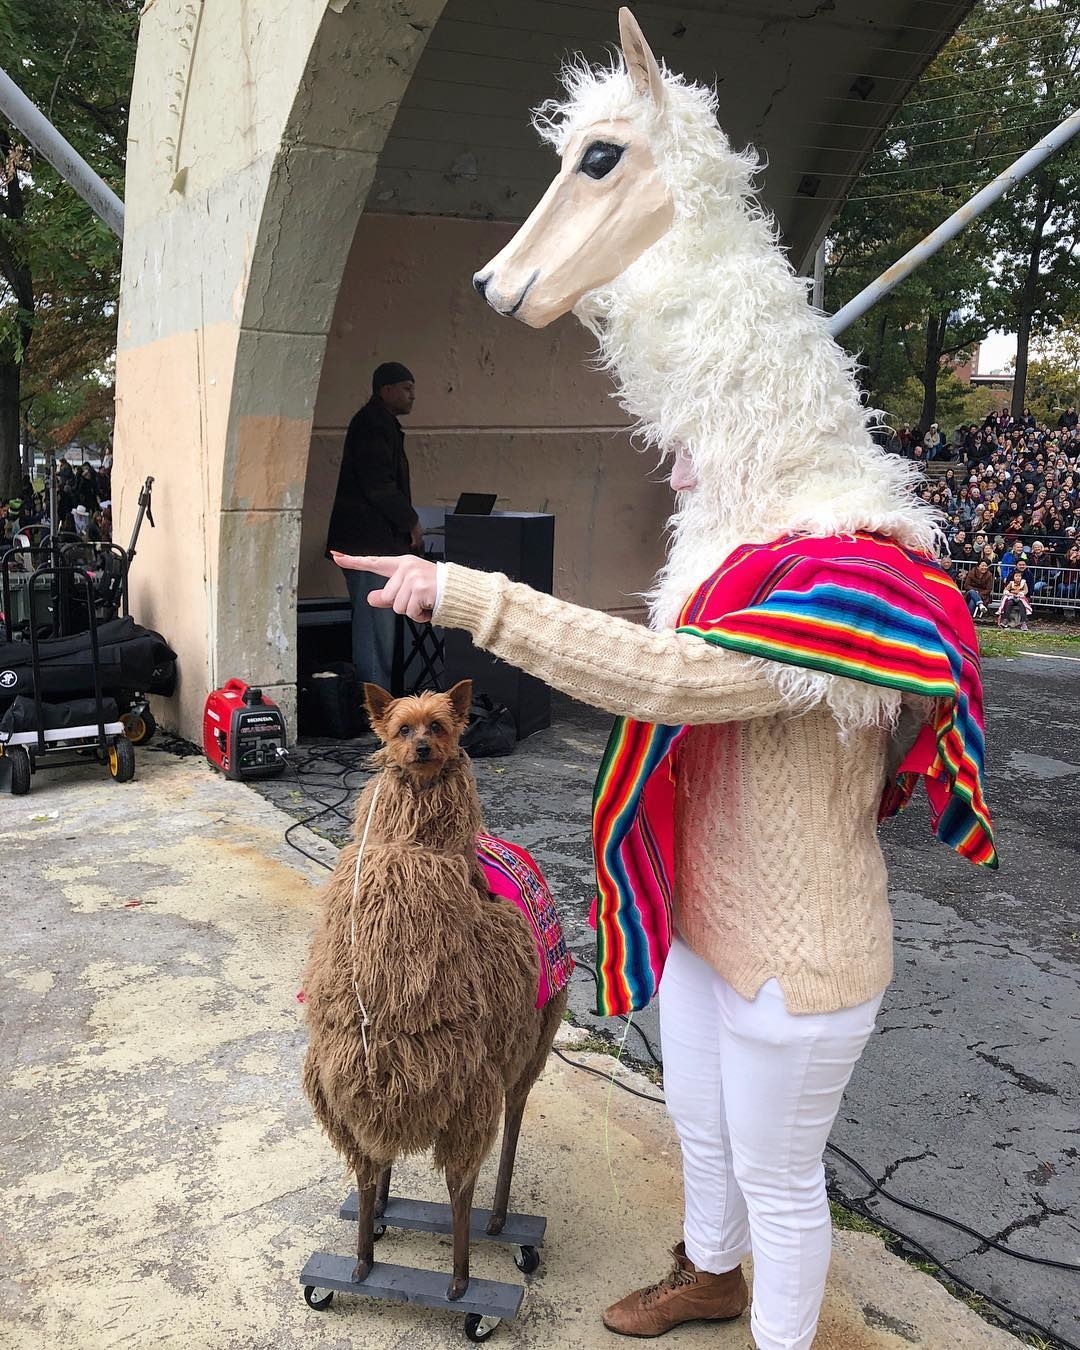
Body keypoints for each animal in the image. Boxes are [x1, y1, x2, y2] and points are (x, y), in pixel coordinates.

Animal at [299, 680, 569, 1301]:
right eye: (401, 728)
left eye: (440, 726)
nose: (422, 749)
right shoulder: (351, 1111)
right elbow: (366, 1178)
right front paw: (361, 1263)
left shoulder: (468, 1101)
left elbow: (459, 1194)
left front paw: (460, 1285)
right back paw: (384, 1212)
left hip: (529, 1047)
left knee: (513, 1123)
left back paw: (501, 1223)